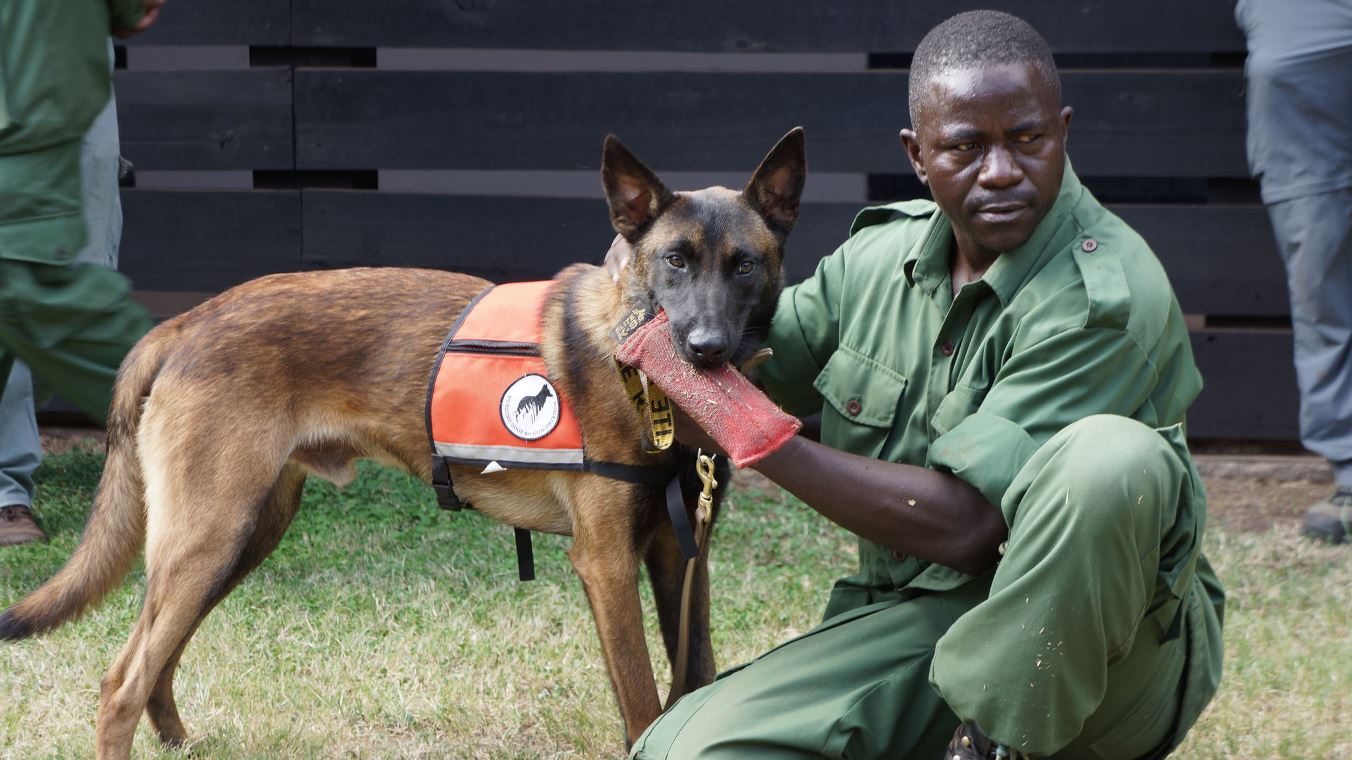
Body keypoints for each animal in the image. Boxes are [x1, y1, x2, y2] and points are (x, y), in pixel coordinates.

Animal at [0, 127, 800, 751]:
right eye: (675, 261)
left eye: (745, 265)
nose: (706, 350)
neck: (637, 370)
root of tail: (186, 322)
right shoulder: (606, 563)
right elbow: (641, 703)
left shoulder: (681, 552)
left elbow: (694, 675)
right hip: (210, 536)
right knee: (121, 682)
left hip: (240, 537)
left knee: (158, 656)